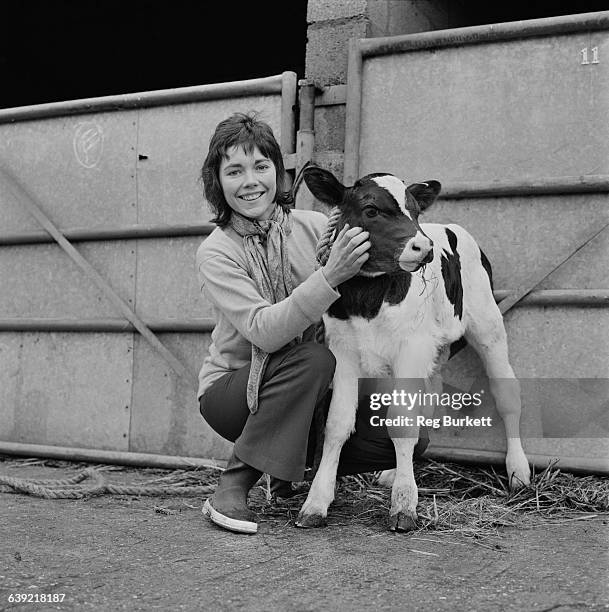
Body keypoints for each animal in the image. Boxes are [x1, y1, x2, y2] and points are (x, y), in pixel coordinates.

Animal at [296, 166, 528, 532]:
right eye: (371, 210)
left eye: (416, 211)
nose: (424, 247)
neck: (368, 299)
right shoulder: (344, 351)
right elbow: (337, 424)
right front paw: (317, 501)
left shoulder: (410, 347)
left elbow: (401, 422)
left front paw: (404, 505)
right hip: (429, 351)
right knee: (428, 398)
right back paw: (392, 471)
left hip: (488, 327)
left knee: (507, 395)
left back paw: (519, 470)